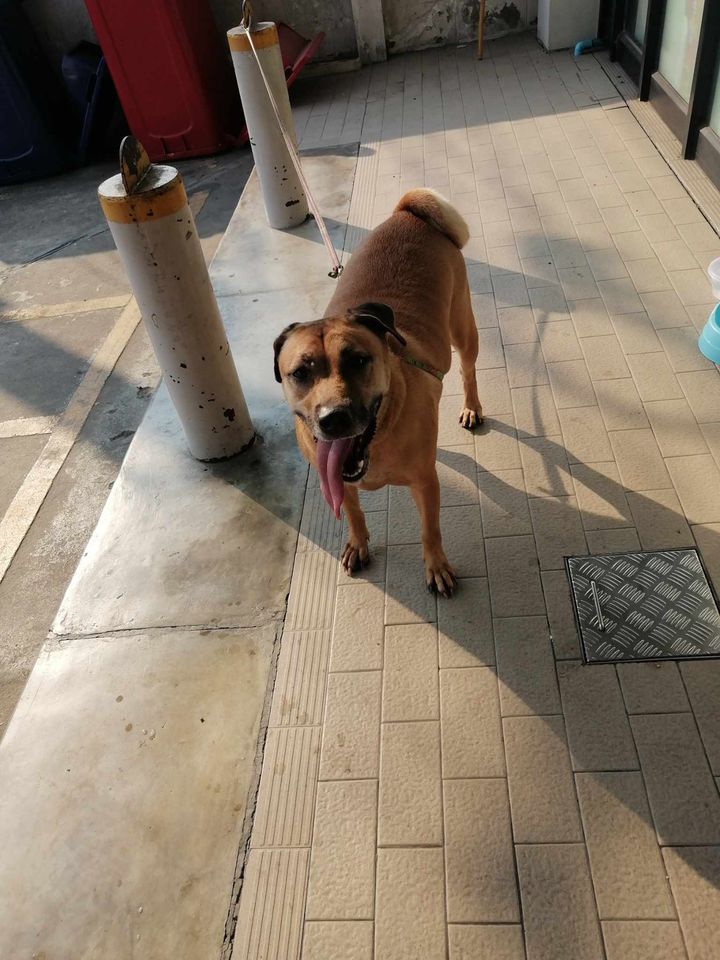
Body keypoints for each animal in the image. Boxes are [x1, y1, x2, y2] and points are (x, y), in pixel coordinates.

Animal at [273, 188, 482, 595]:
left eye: (358, 360)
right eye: (300, 373)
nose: (334, 419)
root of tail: (408, 213)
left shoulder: (425, 481)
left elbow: (430, 530)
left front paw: (437, 567)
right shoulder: (335, 478)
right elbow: (353, 511)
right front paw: (357, 544)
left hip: (463, 325)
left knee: (468, 369)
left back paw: (472, 407)